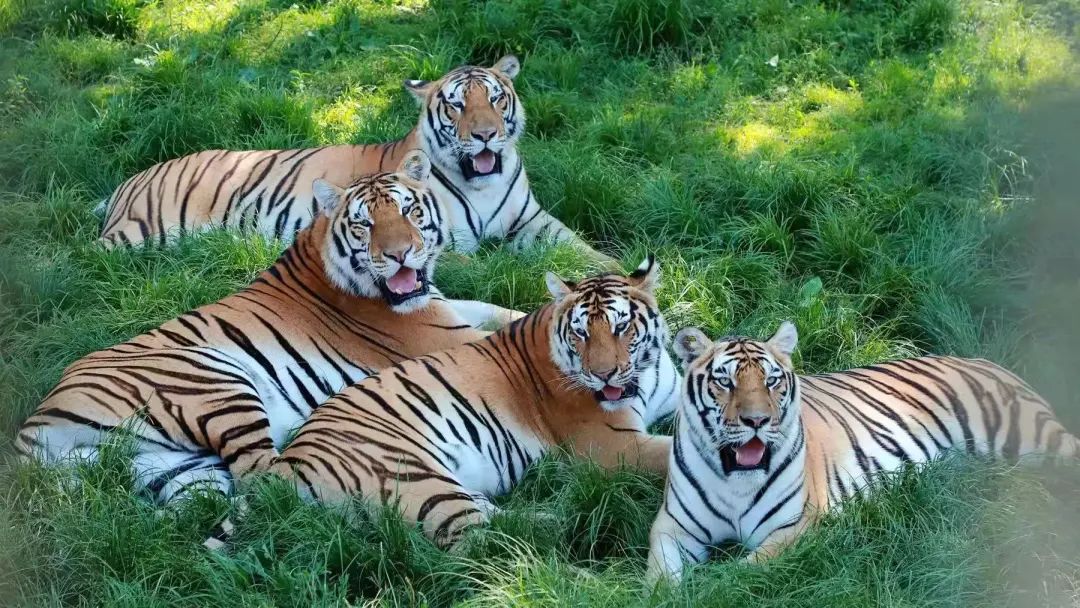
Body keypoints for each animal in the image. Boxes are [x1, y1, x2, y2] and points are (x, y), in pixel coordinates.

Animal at [15, 150, 522, 501]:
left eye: (409, 211)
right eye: (364, 225)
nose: (400, 254)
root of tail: (33, 424)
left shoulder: (449, 307)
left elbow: (500, 309)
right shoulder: (442, 335)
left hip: (175, 468)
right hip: (216, 377)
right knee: (269, 478)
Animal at [98, 57, 613, 264]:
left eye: (493, 98)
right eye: (456, 105)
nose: (485, 136)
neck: (482, 183)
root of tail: (126, 181)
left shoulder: (533, 220)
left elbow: (583, 249)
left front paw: (619, 267)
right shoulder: (438, 242)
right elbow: (486, 262)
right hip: (135, 237)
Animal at [248, 254, 678, 548]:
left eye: (622, 327)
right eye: (581, 333)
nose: (603, 374)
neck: (646, 375)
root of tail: (289, 460)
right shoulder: (614, 447)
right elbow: (670, 451)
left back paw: (559, 514)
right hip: (419, 480)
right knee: (482, 545)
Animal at [643, 321, 1075, 583]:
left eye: (771, 381)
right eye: (725, 382)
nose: (757, 421)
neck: (735, 481)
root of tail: (991, 363)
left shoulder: (795, 527)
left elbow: (738, 573)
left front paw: (711, 585)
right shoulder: (672, 527)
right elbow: (660, 576)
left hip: (1033, 439)